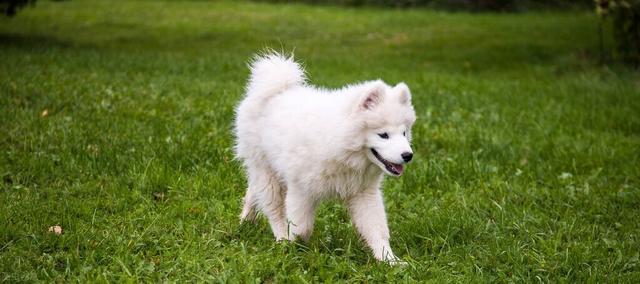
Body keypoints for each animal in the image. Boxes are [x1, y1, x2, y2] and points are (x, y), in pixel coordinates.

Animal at [234, 52, 416, 262]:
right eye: (383, 135)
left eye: (404, 133)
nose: (408, 155)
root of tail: (277, 88)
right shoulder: (301, 189)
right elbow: (301, 227)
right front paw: (293, 246)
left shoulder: (364, 192)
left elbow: (376, 229)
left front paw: (389, 260)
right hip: (266, 169)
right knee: (274, 208)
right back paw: (280, 238)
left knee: (254, 190)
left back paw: (246, 220)